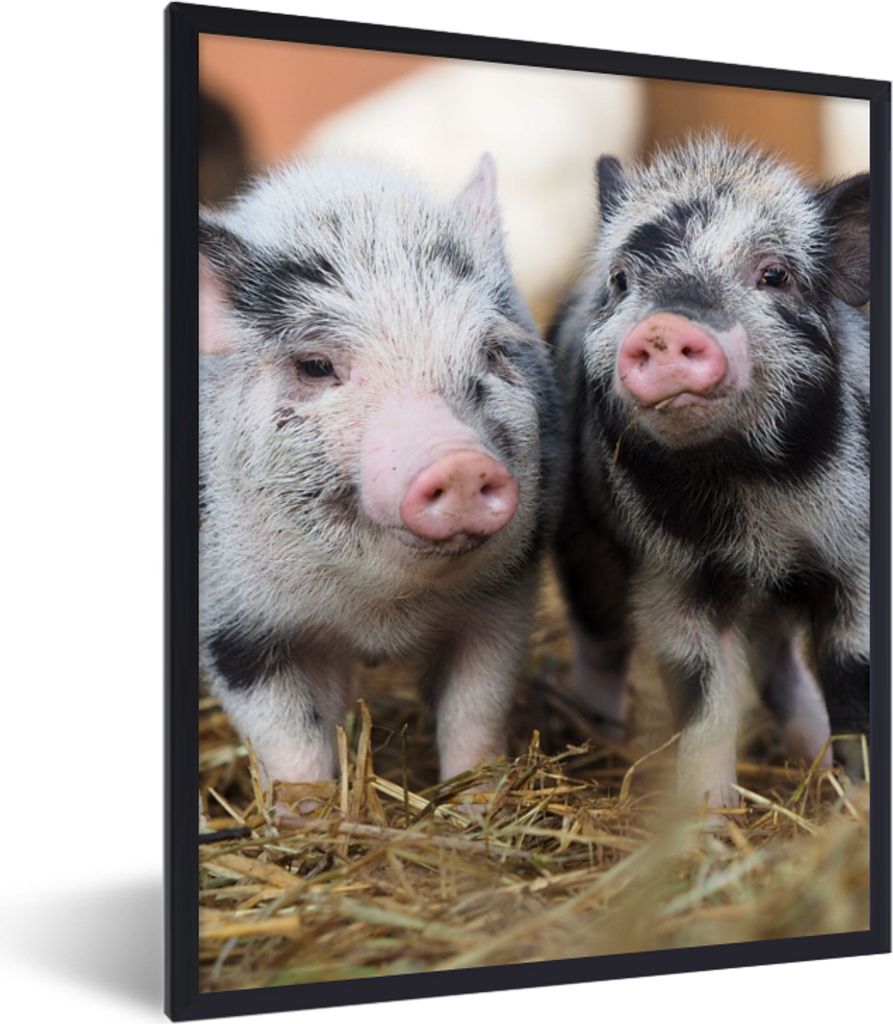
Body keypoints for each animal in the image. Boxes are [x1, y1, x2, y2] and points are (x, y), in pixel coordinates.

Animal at [198, 155, 563, 795]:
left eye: (492, 352)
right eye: (315, 365)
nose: (460, 463)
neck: (379, 613)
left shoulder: (505, 596)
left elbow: (475, 711)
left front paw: (475, 797)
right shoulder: (232, 624)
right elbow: (289, 743)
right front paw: (309, 812)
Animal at [551, 135, 870, 808]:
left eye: (774, 275)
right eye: (622, 279)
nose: (666, 326)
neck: (751, 489)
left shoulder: (853, 559)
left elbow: (854, 682)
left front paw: (857, 802)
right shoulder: (671, 578)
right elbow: (703, 701)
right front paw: (709, 815)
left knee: (780, 667)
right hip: (581, 544)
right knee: (600, 642)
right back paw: (600, 735)